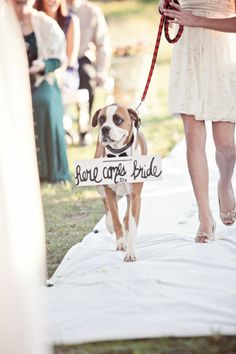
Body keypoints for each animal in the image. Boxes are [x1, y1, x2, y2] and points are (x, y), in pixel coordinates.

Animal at [92, 102, 147, 260]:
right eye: (101, 120)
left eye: (117, 120)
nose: (105, 129)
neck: (118, 155)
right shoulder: (110, 191)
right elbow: (116, 219)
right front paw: (121, 243)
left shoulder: (135, 195)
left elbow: (132, 223)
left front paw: (130, 251)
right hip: (99, 186)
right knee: (105, 202)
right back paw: (109, 224)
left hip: (128, 195)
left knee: (126, 217)